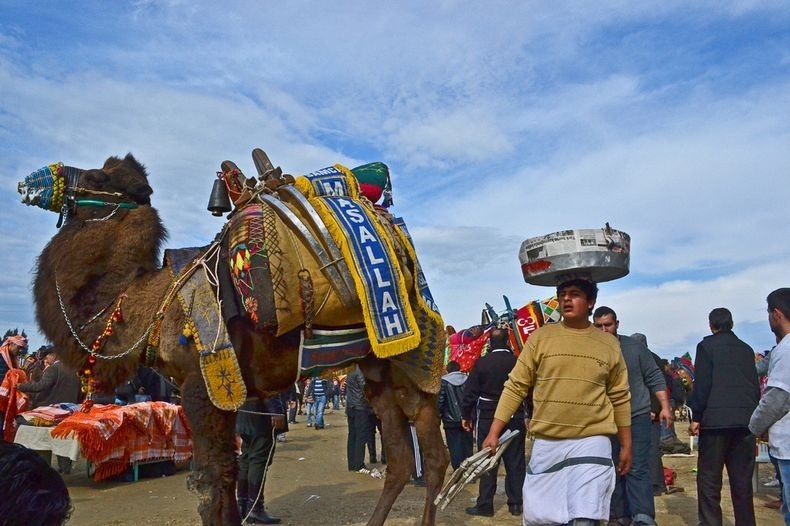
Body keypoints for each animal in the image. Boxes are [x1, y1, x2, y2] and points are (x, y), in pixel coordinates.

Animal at [15, 151, 452, 524]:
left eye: (95, 178)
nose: (31, 181)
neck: (143, 303)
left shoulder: (203, 384)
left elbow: (210, 482)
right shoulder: (221, 392)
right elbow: (227, 476)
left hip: (406, 355)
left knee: (431, 454)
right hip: (376, 366)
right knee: (405, 458)